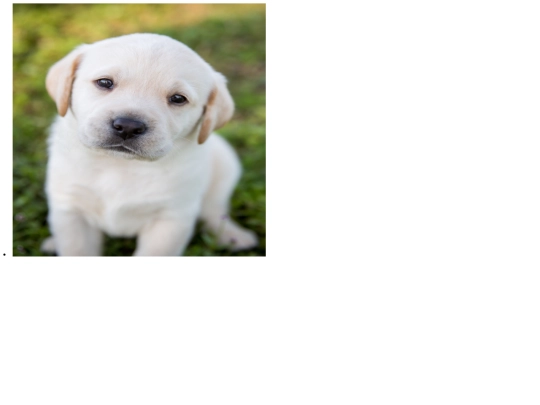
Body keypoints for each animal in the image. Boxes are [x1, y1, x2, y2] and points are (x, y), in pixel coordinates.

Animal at [40, 33, 258, 256]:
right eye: (104, 82)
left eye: (178, 98)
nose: (128, 126)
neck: (121, 165)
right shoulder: (70, 209)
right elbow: (76, 249)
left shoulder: (170, 219)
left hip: (225, 164)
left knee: (214, 209)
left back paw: (232, 234)